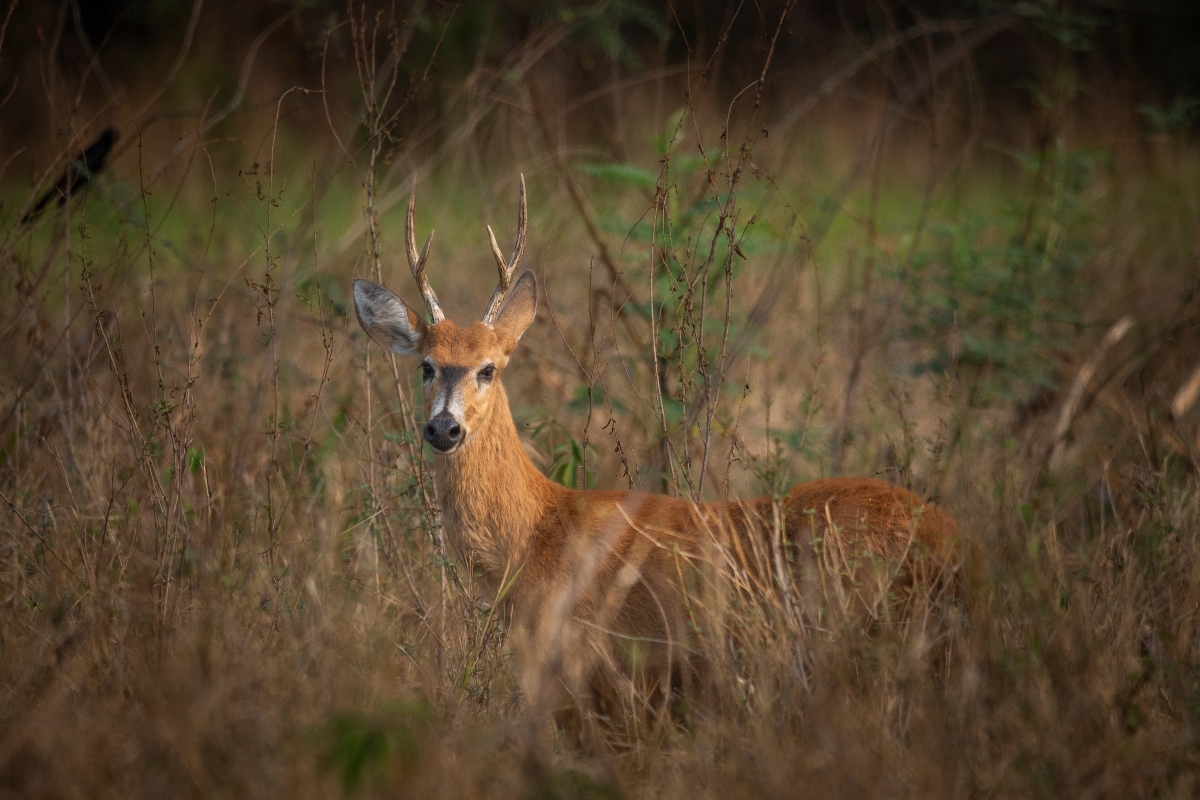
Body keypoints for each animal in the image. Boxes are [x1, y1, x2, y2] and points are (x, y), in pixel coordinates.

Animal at [352, 176, 960, 721]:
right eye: (426, 366)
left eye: (488, 368)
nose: (444, 429)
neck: (533, 538)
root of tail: (959, 544)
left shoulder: (590, 679)